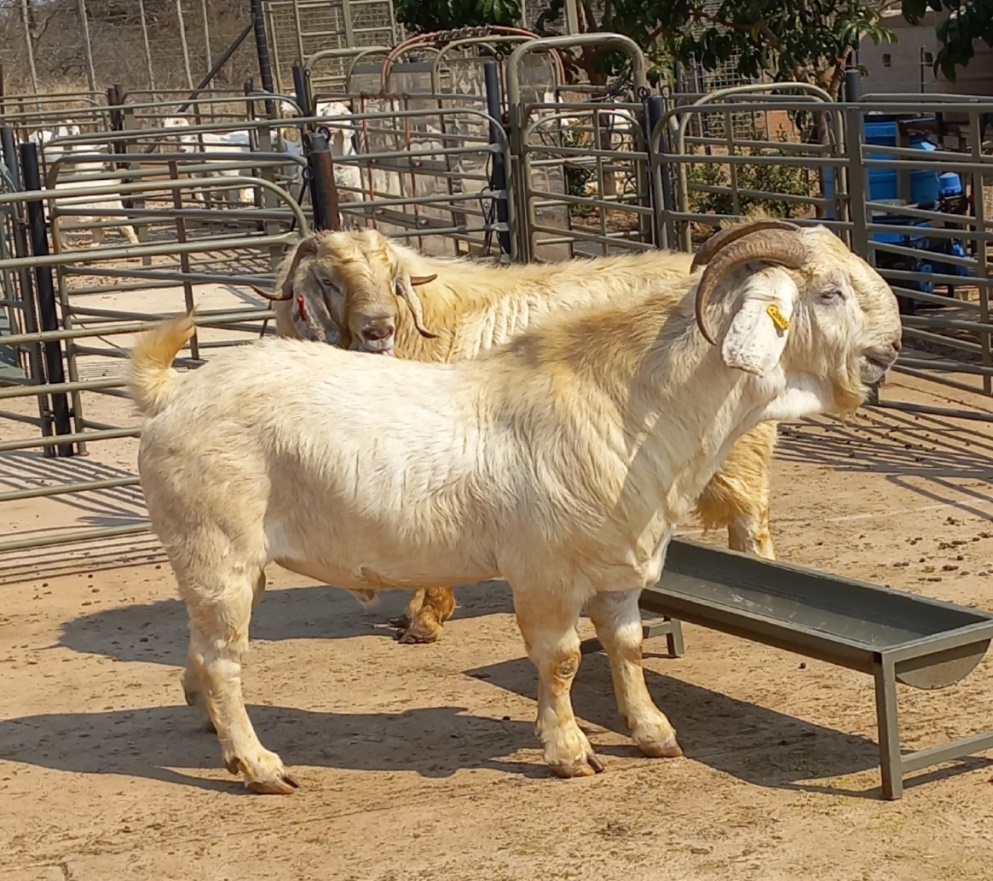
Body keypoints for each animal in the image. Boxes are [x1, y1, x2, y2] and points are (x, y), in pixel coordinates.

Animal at [258, 227, 780, 643]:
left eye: (392, 279)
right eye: (330, 281)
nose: (378, 329)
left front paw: (426, 620)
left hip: (738, 449)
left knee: (751, 522)